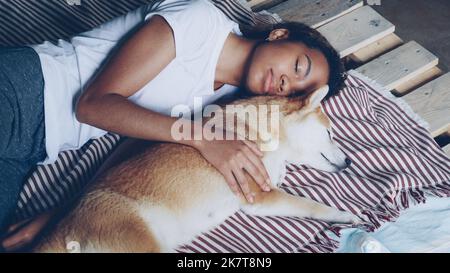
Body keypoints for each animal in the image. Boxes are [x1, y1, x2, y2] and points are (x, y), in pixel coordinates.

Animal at [34, 86, 358, 252]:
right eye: (330, 133)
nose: (350, 162)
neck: (259, 129)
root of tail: (63, 226)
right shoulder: (261, 196)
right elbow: (314, 206)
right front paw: (346, 215)